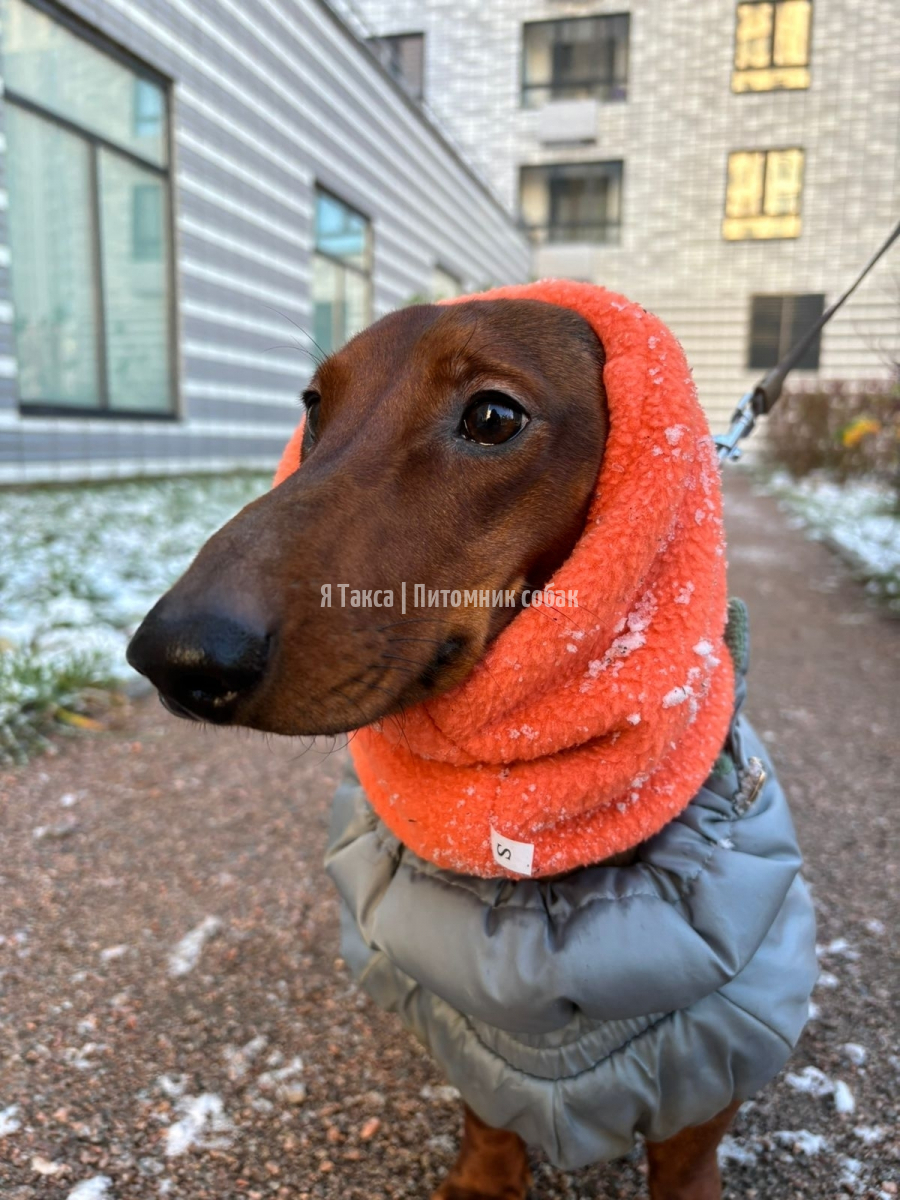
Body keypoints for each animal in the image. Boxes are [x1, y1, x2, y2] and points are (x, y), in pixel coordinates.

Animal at [128, 284, 817, 1199]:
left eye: (493, 416)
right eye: (314, 406)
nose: (173, 655)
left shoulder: (712, 1065)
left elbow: (688, 1155)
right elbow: (488, 1115)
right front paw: (484, 1179)